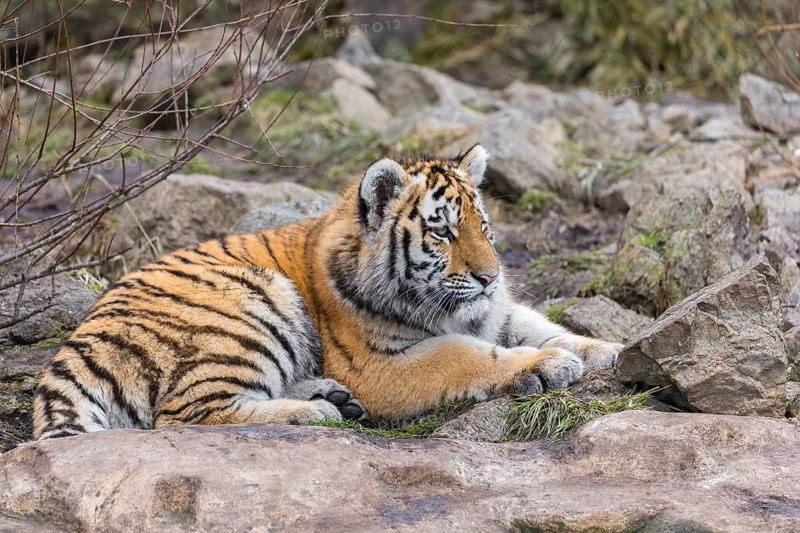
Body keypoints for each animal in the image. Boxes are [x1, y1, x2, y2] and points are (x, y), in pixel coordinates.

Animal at [32, 144, 622, 439]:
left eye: (483, 226)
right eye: (442, 232)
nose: (490, 277)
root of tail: (73, 349)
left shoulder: (491, 313)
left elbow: (543, 326)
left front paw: (610, 351)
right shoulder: (380, 366)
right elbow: (466, 355)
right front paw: (546, 365)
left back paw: (328, 397)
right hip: (252, 302)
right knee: (185, 414)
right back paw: (315, 414)